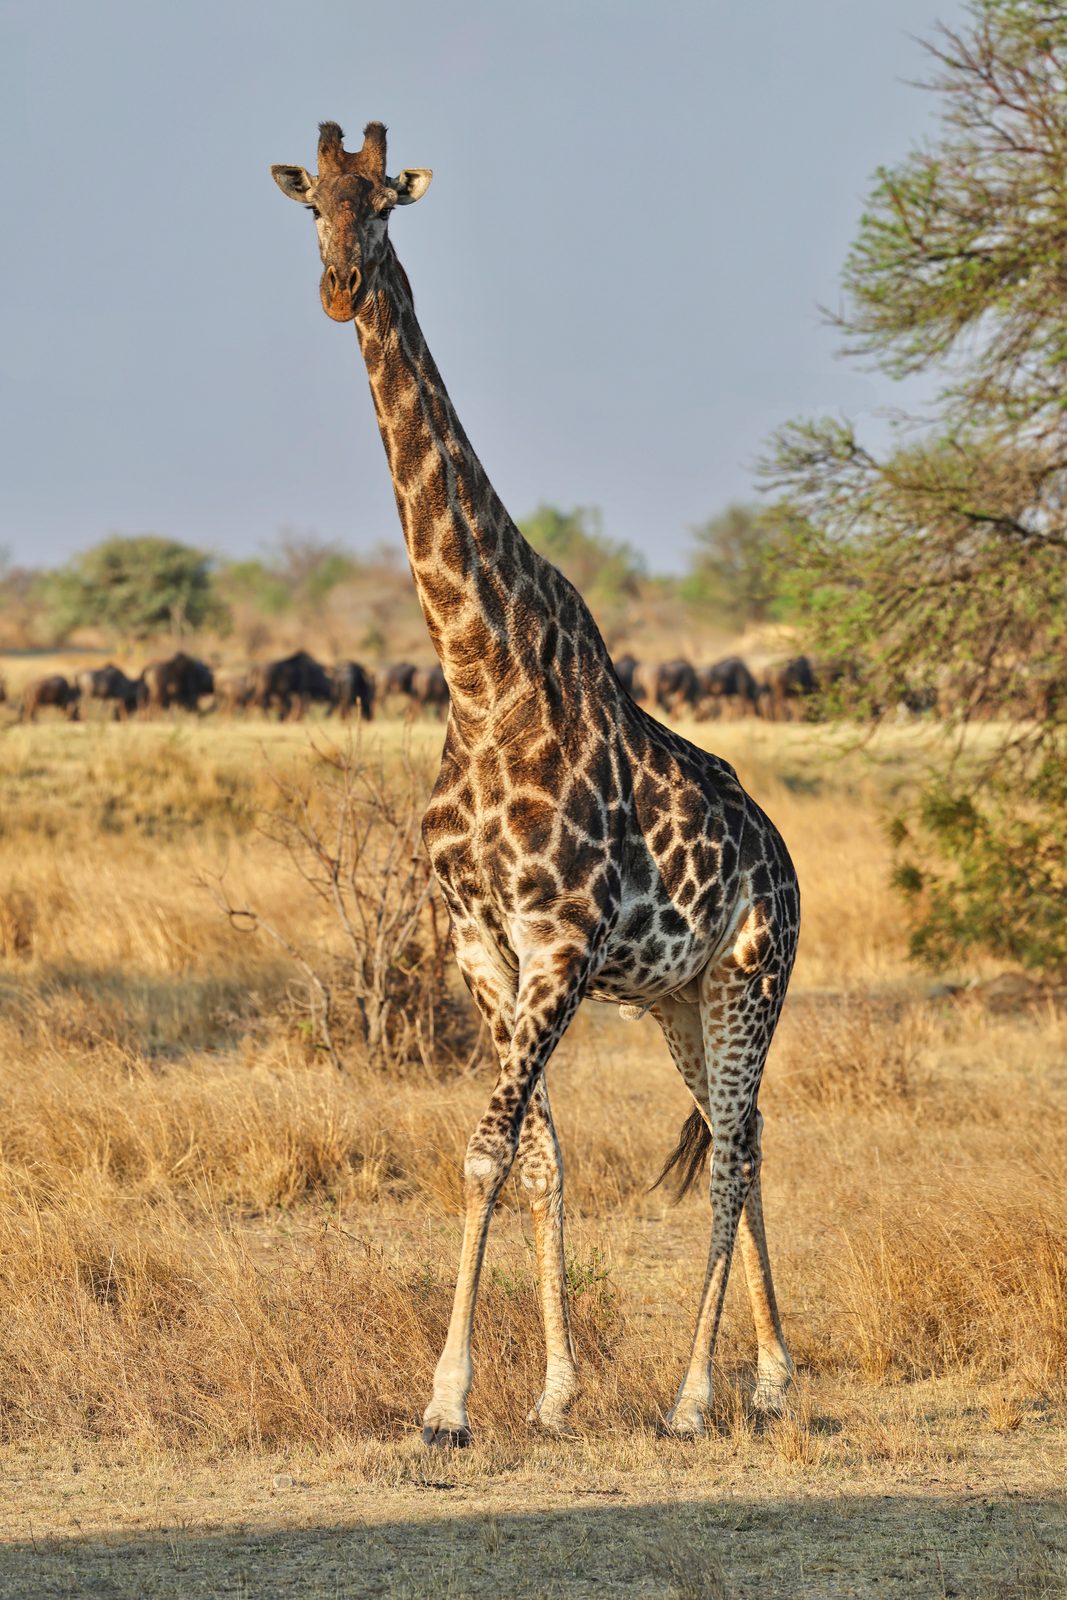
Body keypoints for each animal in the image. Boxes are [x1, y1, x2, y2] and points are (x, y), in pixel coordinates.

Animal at [271, 121, 801, 1444]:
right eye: (310, 205)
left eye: (384, 203)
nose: (338, 288)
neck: (479, 671)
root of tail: (786, 861)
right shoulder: (483, 946)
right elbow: (537, 1157)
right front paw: (553, 1394)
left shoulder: (558, 942)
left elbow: (485, 1147)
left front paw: (447, 1402)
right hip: (680, 998)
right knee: (748, 1133)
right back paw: (773, 1375)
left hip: (753, 978)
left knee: (727, 1153)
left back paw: (694, 1395)